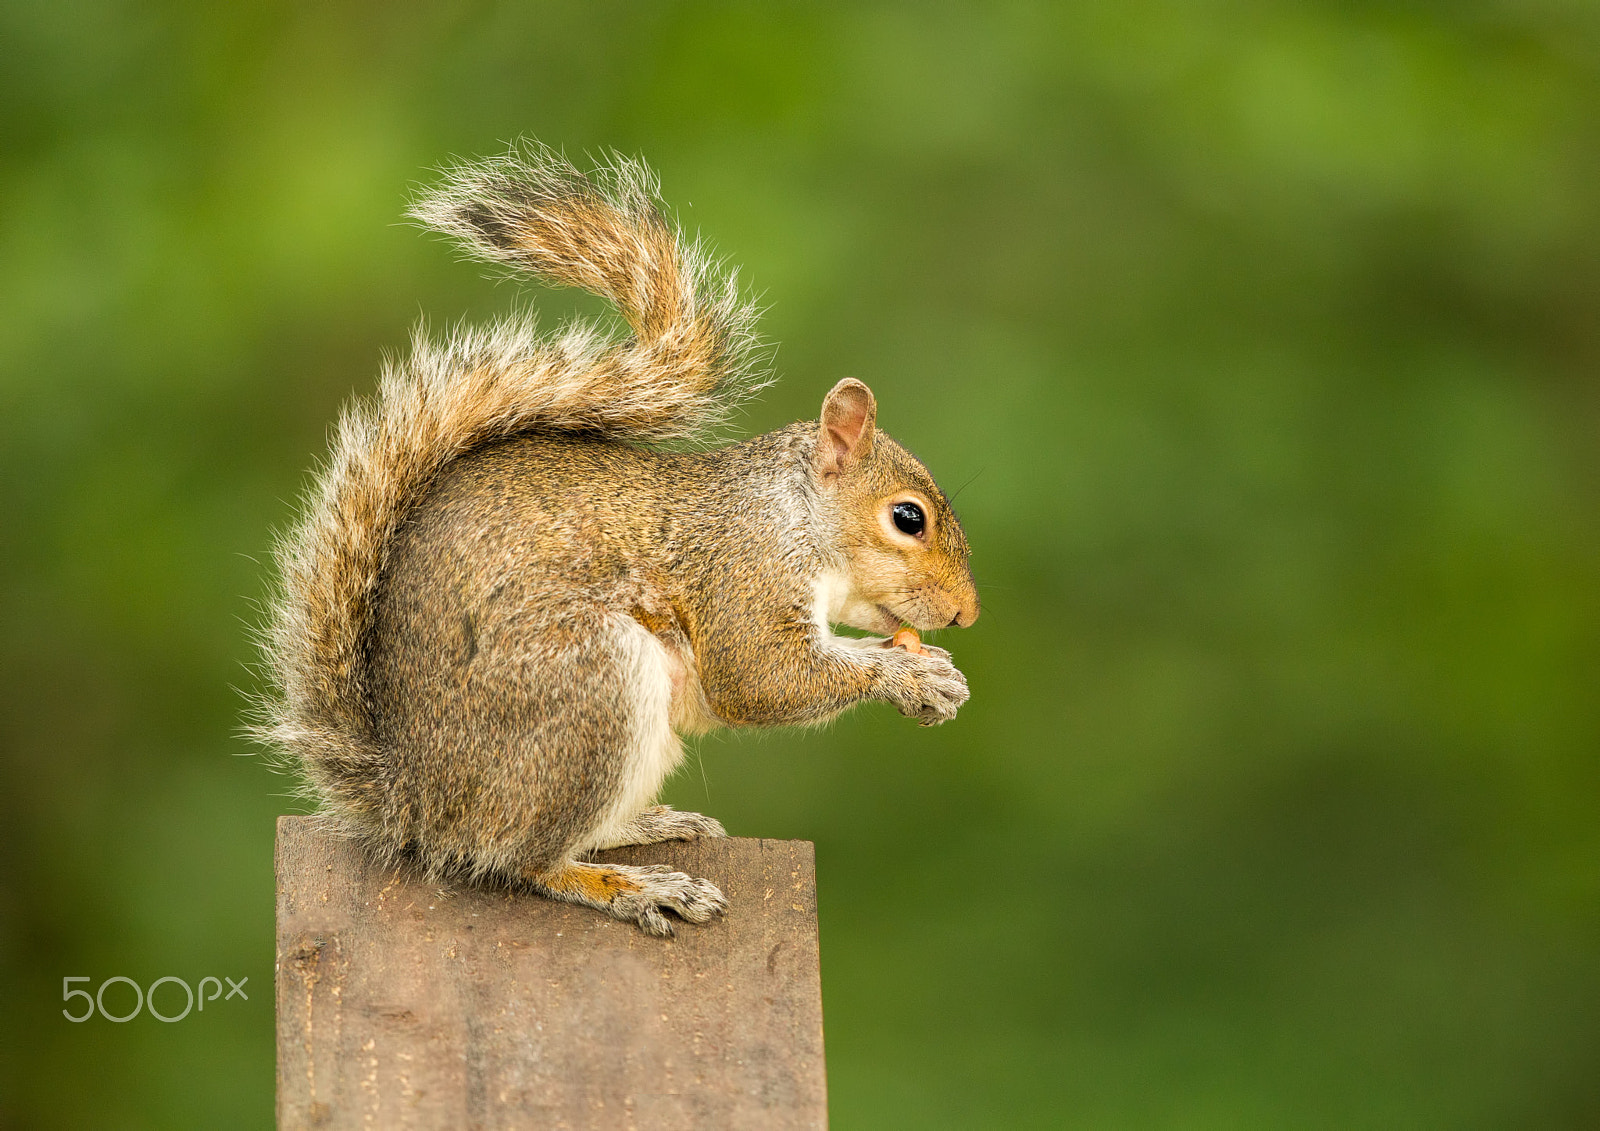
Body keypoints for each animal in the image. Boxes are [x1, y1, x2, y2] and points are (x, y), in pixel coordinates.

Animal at [256, 144, 979, 936]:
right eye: (908, 517)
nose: (967, 613)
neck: (789, 513)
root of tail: (414, 799)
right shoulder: (743, 573)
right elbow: (760, 677)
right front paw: (908, 675)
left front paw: (927, 668)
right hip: (589, 690)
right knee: (521, 859)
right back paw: (632, 886)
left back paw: (645, 826)